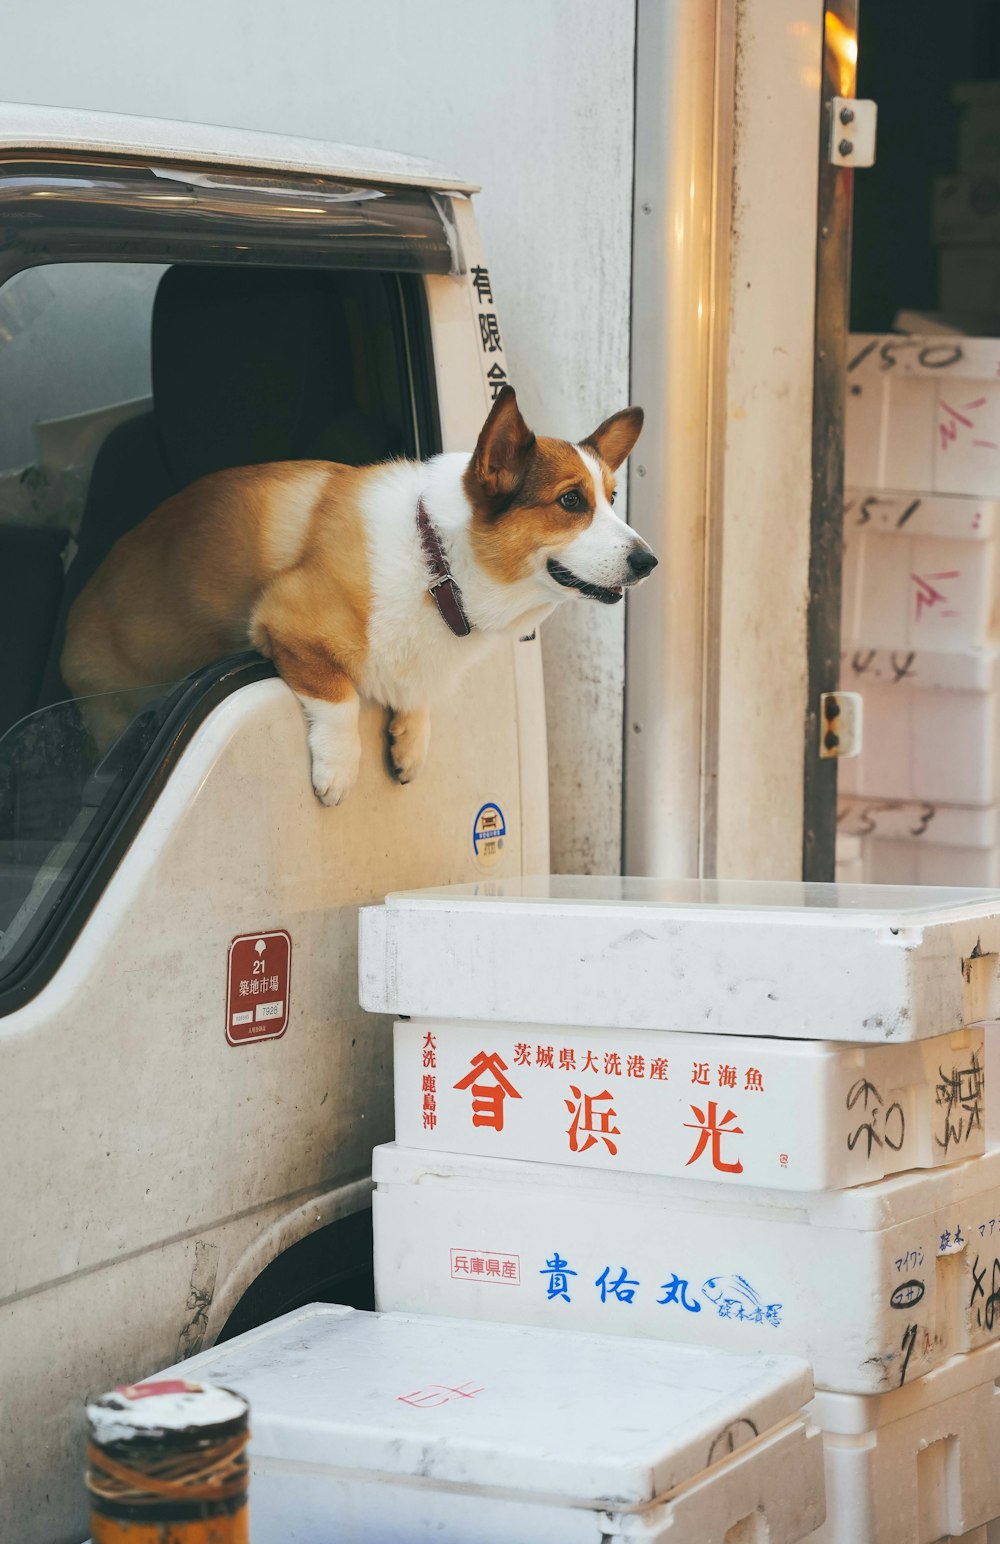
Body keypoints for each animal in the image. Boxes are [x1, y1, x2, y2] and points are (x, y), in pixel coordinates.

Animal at [60, 386, 657, 802]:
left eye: (611, 498)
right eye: (571, 501)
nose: (650, 563)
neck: (438, 563)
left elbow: (414, 693)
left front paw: (409, 742)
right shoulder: (286, 619)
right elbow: (338, 697)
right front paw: (339, 769)